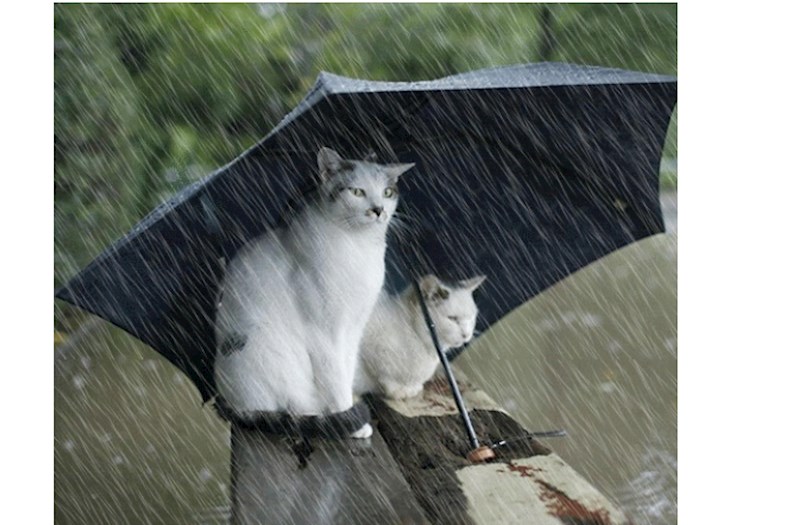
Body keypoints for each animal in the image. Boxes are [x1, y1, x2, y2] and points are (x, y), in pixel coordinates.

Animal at [212, 145, 412, 436]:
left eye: (387, 192)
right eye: (357, 192)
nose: (378, 210)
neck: (360, 247)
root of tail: (226, 402)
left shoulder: (354, 329)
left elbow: (346, 371)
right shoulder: (323, 334)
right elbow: (335, 380)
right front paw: (352, 421)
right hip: (265, 346)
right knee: (294, 408)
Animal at [358, 272, 488, 400]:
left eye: (472, 317)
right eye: (452, 318)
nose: (466, 334)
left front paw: (411, 388)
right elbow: (383, 372)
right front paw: (397, 390)